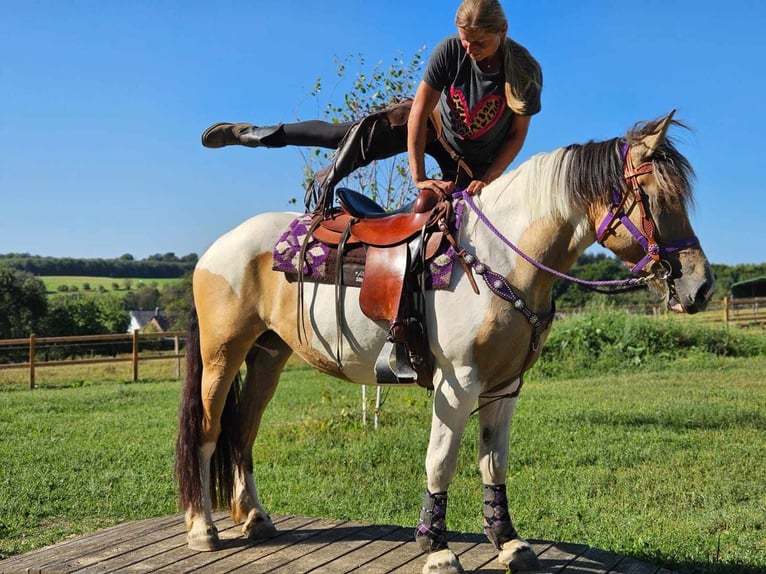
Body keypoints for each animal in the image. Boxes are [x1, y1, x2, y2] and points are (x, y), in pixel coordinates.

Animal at [172, 110, 712, 572]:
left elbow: (494, 463)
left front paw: (508, 542)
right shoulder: (458, 383)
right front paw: (435, 548)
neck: (501, 255)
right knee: (208, 430)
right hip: (222, 355)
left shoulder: (504, 387)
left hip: (268, 355)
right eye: (654, 197)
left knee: (243, 433)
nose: (700, 287)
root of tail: (216, 250)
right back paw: (202, 529)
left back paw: (256, 519)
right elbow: (441, 462)